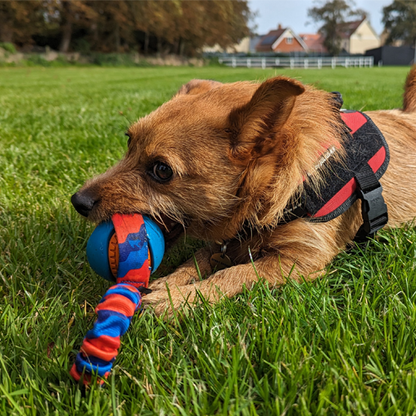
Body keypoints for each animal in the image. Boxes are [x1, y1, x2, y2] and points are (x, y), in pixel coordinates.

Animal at [71, 68, 416, 316]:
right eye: (129, 141)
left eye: (162, 170)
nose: (78, 201)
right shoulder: (223, 243)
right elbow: (198, 258)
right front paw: (172, 283)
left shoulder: (303, 257)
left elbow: (237, 273)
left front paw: (179, 298)